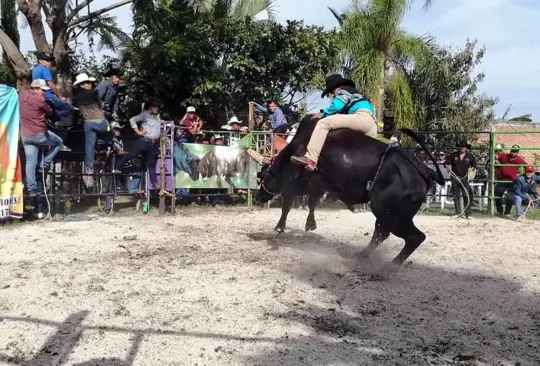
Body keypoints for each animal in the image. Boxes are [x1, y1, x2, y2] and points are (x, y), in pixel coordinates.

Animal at [256, 116, 442, 270]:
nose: (258, 197)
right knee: (381, 233)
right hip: (387, 214)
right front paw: (310, 224)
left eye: (262, 177)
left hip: (392, 214)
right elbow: (311, 202)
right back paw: (362, 255)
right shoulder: (317, 186)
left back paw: (389, 267)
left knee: (415, 237)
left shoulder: (297, 183)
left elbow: (288, 203)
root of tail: (424, 170)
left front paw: (280, 227)